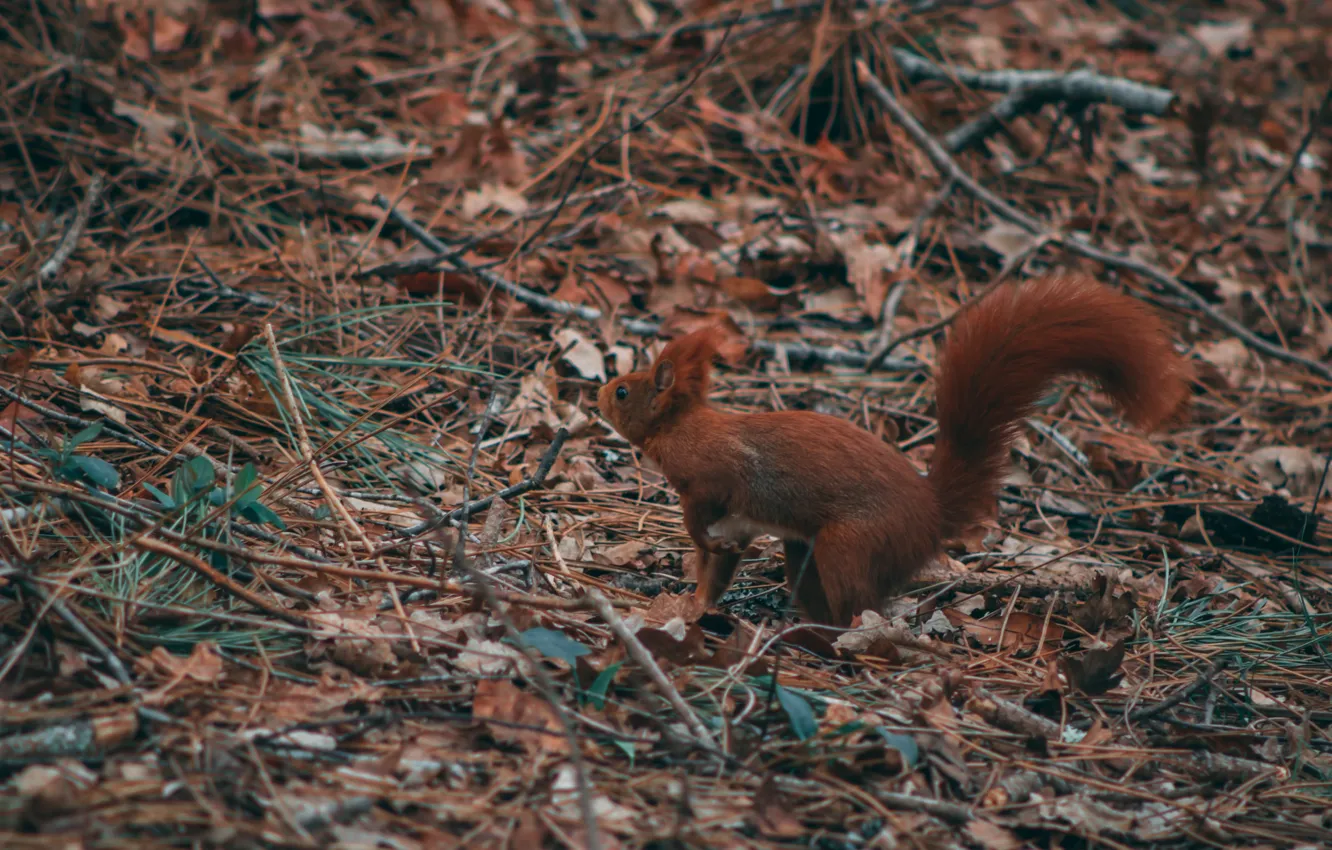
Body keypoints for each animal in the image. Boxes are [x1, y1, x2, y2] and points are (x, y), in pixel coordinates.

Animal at [599, 277, 1193, 628]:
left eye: (624, 391)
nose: (597, 394)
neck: (683, 428)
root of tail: (931, 514)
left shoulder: (713, 477)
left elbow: (708, 520)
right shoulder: (735, 524)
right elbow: (715, 569)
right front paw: (690, 606)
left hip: (850, 545)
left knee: (857, 604)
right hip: (805, 549)